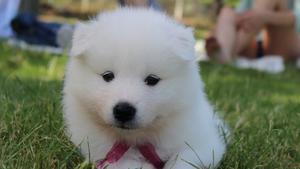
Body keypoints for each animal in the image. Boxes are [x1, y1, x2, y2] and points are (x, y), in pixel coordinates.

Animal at [62, 7, 227, 169]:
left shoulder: (203, 144)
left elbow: (182, 160)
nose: (123, 110)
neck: (138, 138)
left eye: (152, 80)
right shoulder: (103, 152)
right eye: (107, 76)